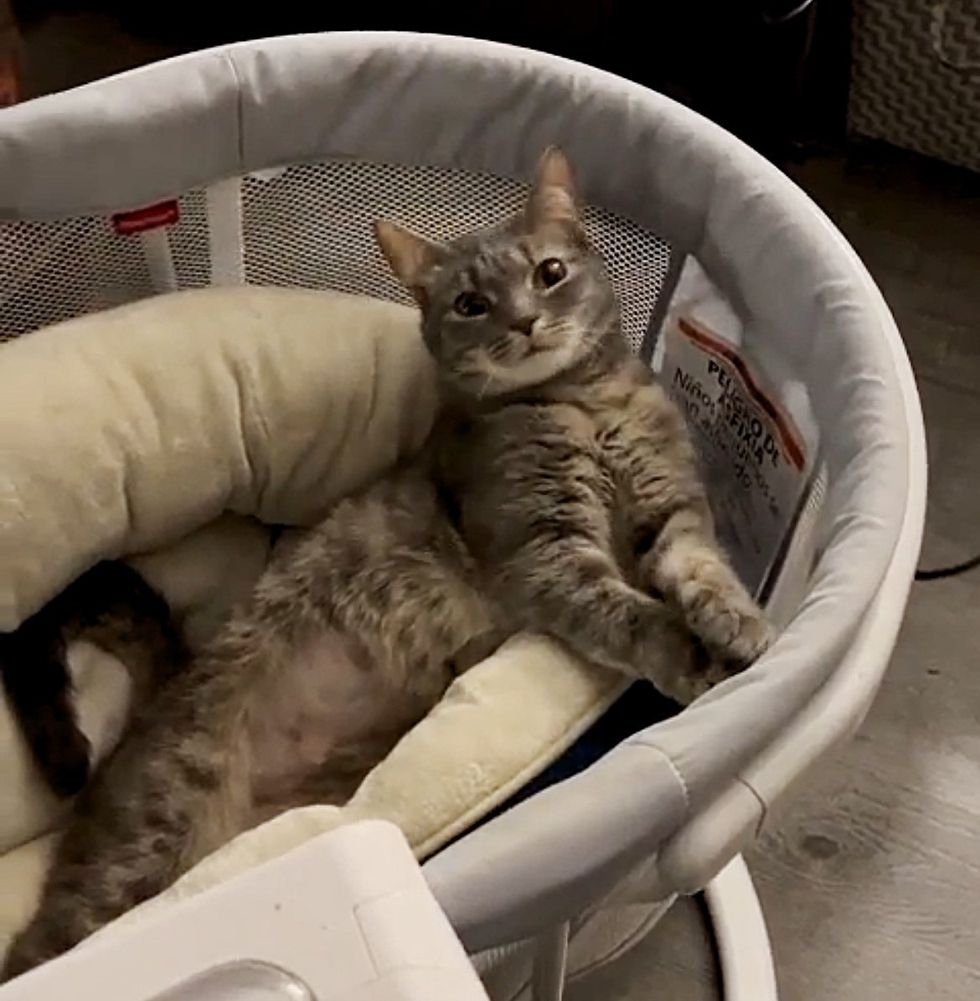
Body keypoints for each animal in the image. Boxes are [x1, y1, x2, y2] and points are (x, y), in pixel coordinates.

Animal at [3, 148, 768, 976]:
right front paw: (697, 658)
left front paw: (744, 625)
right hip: (148, 842)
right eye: (470, 302)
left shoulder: (672, 509)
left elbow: (702, 569)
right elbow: (633, 615)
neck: (583, 402)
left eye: (551, 271)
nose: (525, 321)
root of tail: (163, 693)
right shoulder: (547, 551)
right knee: (45, 946)